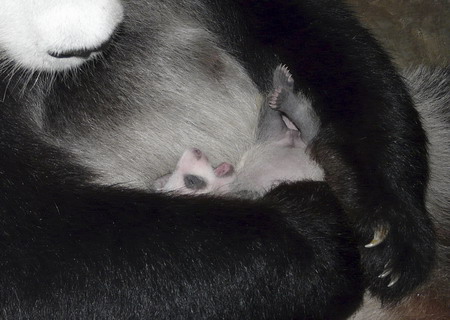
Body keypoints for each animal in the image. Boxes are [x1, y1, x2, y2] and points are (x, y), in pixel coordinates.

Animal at [0, 0, 442, 318]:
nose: (85, 47)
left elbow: (319, 32)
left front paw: (387, 229)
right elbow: (40, 252)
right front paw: (321, 230)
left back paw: (287, 98)